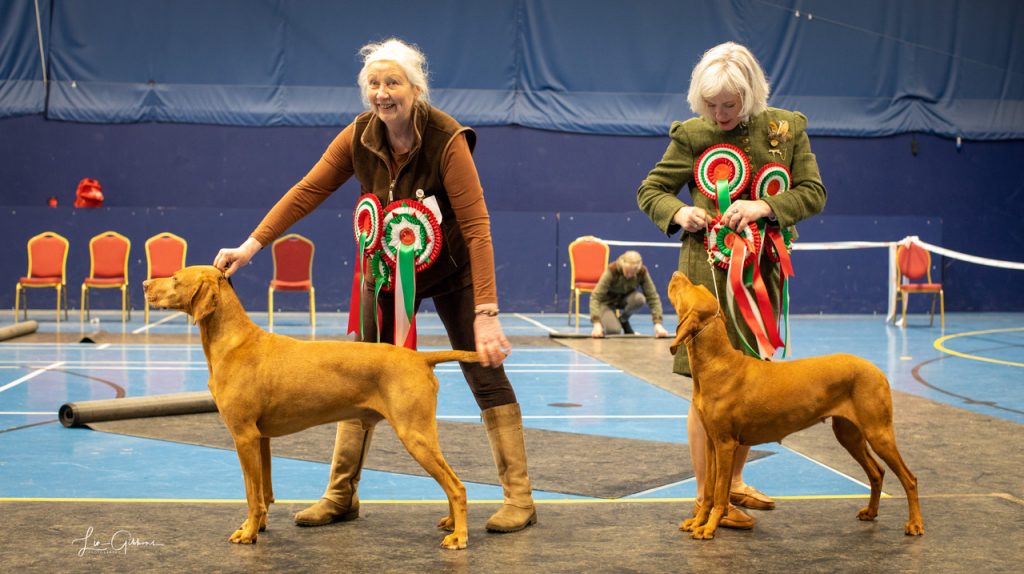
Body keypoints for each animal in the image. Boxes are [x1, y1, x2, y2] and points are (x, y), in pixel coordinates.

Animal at [145, 266, 475, 548]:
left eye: (174, 278)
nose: (145, 284)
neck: (235, 342)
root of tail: (421, 358)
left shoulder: (244, 436)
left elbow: (251, 493)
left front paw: (248, 533)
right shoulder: (260, 438)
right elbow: (264, 492)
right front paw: (258, 526)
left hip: (415, 434)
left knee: (457, 486)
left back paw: (459, 536)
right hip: (421, 434)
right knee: (450, 481)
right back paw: (450, 523)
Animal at [667, 270, 925, 540]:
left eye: (689, 288)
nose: (676, 273)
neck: (717, 362)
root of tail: (878, 371)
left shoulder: (726, 444)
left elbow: (718, 492)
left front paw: (709, 527)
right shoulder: (711, 442)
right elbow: (708, 489)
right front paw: (698, 521)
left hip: (878, 433)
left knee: (910, 478)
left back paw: (915, 524)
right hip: (849, 434)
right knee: (877, 472)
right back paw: (871, 512)